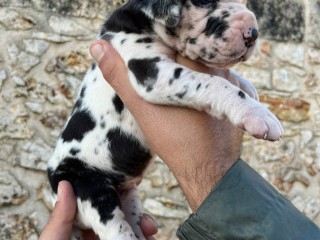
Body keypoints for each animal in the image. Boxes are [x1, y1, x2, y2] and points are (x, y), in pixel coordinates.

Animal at [47, 0, 282, 239]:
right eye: (206, 2)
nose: (253, 33)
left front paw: (250, 88)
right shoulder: (153, 72)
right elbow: (212, 82)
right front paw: (257, 113)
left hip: (127, 197)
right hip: (92, 192)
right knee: (115, 229)